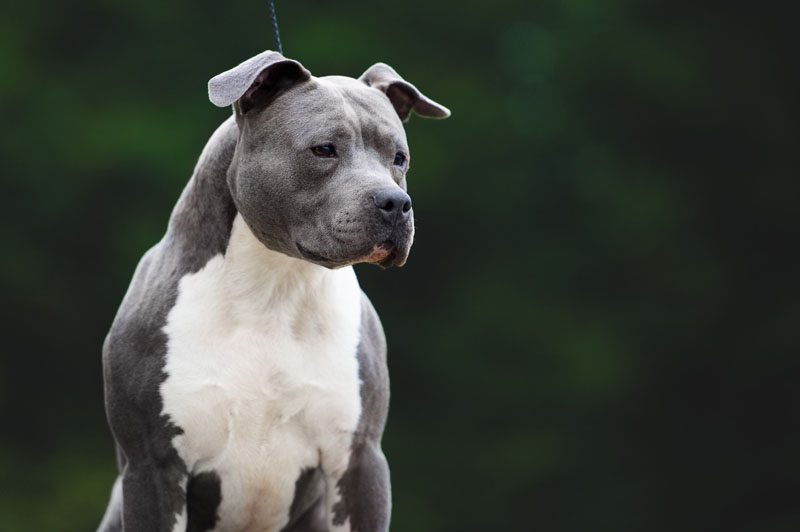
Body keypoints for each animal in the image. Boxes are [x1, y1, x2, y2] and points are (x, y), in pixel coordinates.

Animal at [95, 51, 450, 532]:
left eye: (399, 157)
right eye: (323, 149)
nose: (395, 203)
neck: (276, 287)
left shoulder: (359, 461)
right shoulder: (153, 466)